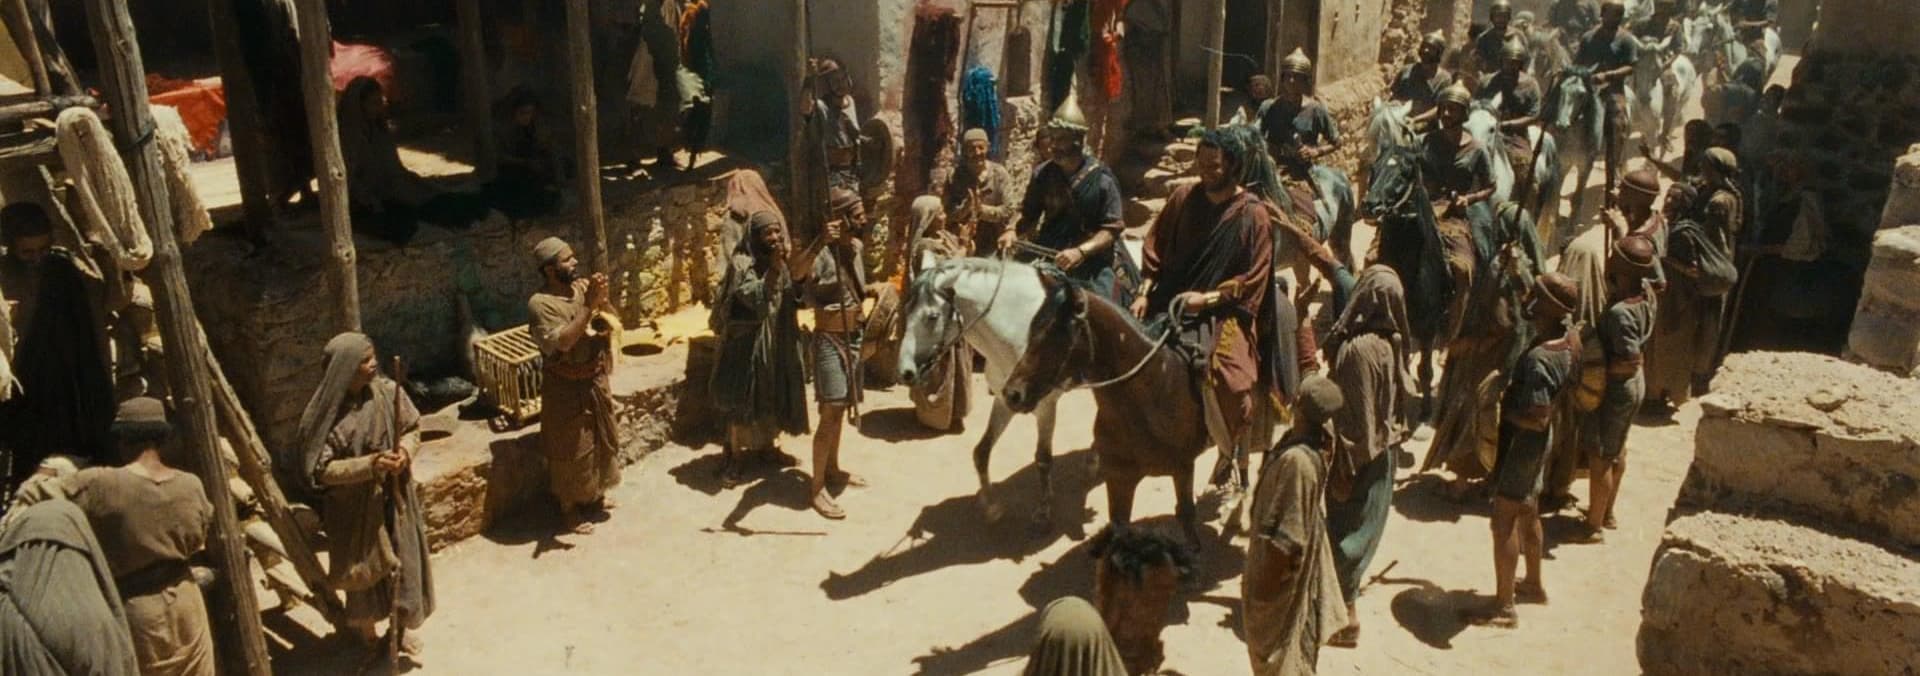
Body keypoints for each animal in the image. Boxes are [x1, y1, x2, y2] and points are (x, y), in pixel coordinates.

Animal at [897, 257, 1065, 524]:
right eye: (905, 311)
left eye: (932, 316)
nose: (905, 372)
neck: (1023, 330)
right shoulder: (1004, 400)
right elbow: (981, 452)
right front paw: (992, 508)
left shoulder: (1046, 407)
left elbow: (1043, 459)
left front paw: (1043, 511)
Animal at [999, 274, 1211, 549]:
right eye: (1033, 328)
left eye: (1055, 335)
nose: (1012, 394)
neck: (1155, 388)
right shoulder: (1119, 475)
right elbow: (1119, 527)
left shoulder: (1183, 468)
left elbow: (1185, 515)